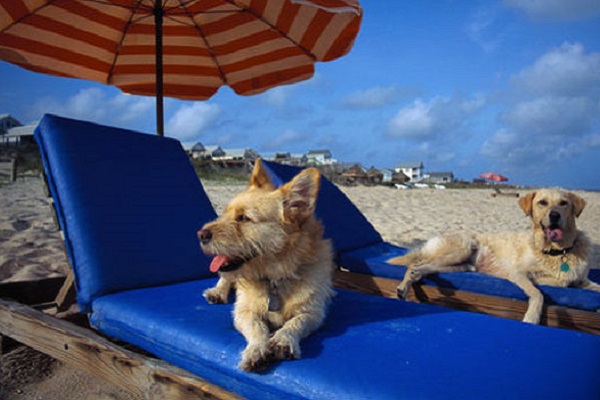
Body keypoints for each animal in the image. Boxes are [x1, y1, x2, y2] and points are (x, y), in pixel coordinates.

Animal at [198, 159, 336, 372]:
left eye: (243, 218)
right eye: (224, 214)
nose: (200, 234)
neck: (275, 276)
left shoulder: (313, 313)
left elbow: (296, 322)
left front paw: (283, 340)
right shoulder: (243, 311)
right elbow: (257, 327)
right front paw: (257, 348)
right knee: (225, 279)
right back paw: (217, 292)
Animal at [390, 189, 600, 324]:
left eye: (564, 203)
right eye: (542, 203)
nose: (555, 215)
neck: (558, 252)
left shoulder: (581, 280)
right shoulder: (517, 273)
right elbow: (538, 294)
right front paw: (531, 317)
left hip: (462, 265)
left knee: (423, 268)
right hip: (463, 249)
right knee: (416, 263)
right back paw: (403, 287)